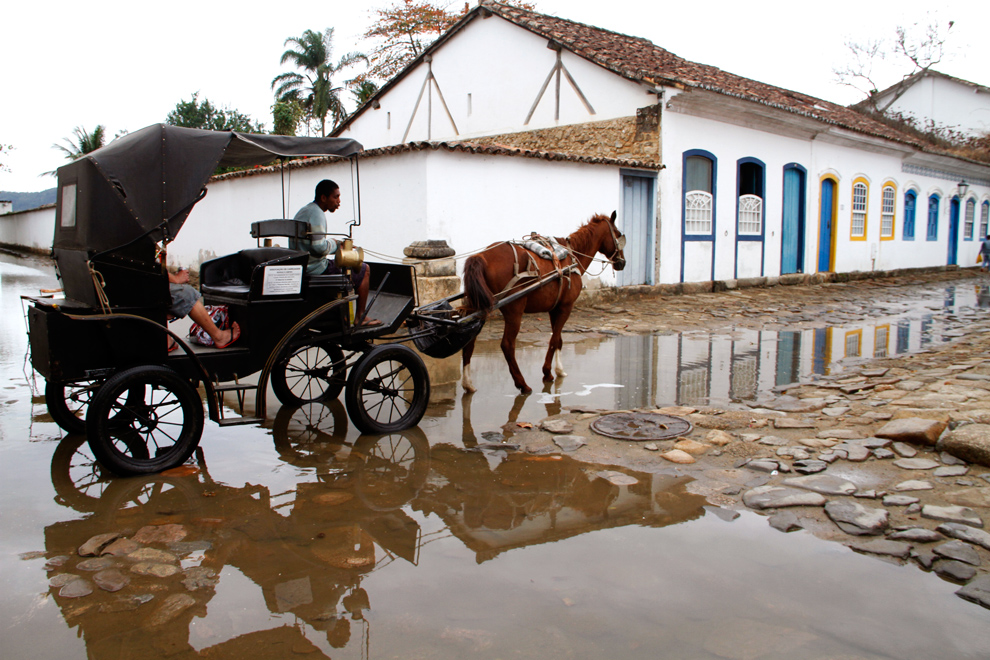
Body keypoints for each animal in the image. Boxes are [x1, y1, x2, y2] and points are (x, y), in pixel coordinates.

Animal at [460, 213, 628, 392]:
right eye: (618, 235)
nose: (622, 262)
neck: (570, 255)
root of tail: (481, 257)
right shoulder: (566, 307)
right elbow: (554, 340)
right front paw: (547, 373)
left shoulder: (555, 309)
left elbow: (558, 339)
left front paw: (559, 370)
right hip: (514, 310)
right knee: (507, 345)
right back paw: (522, 383)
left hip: (478, 307)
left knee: (469, 343)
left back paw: (468, 383)